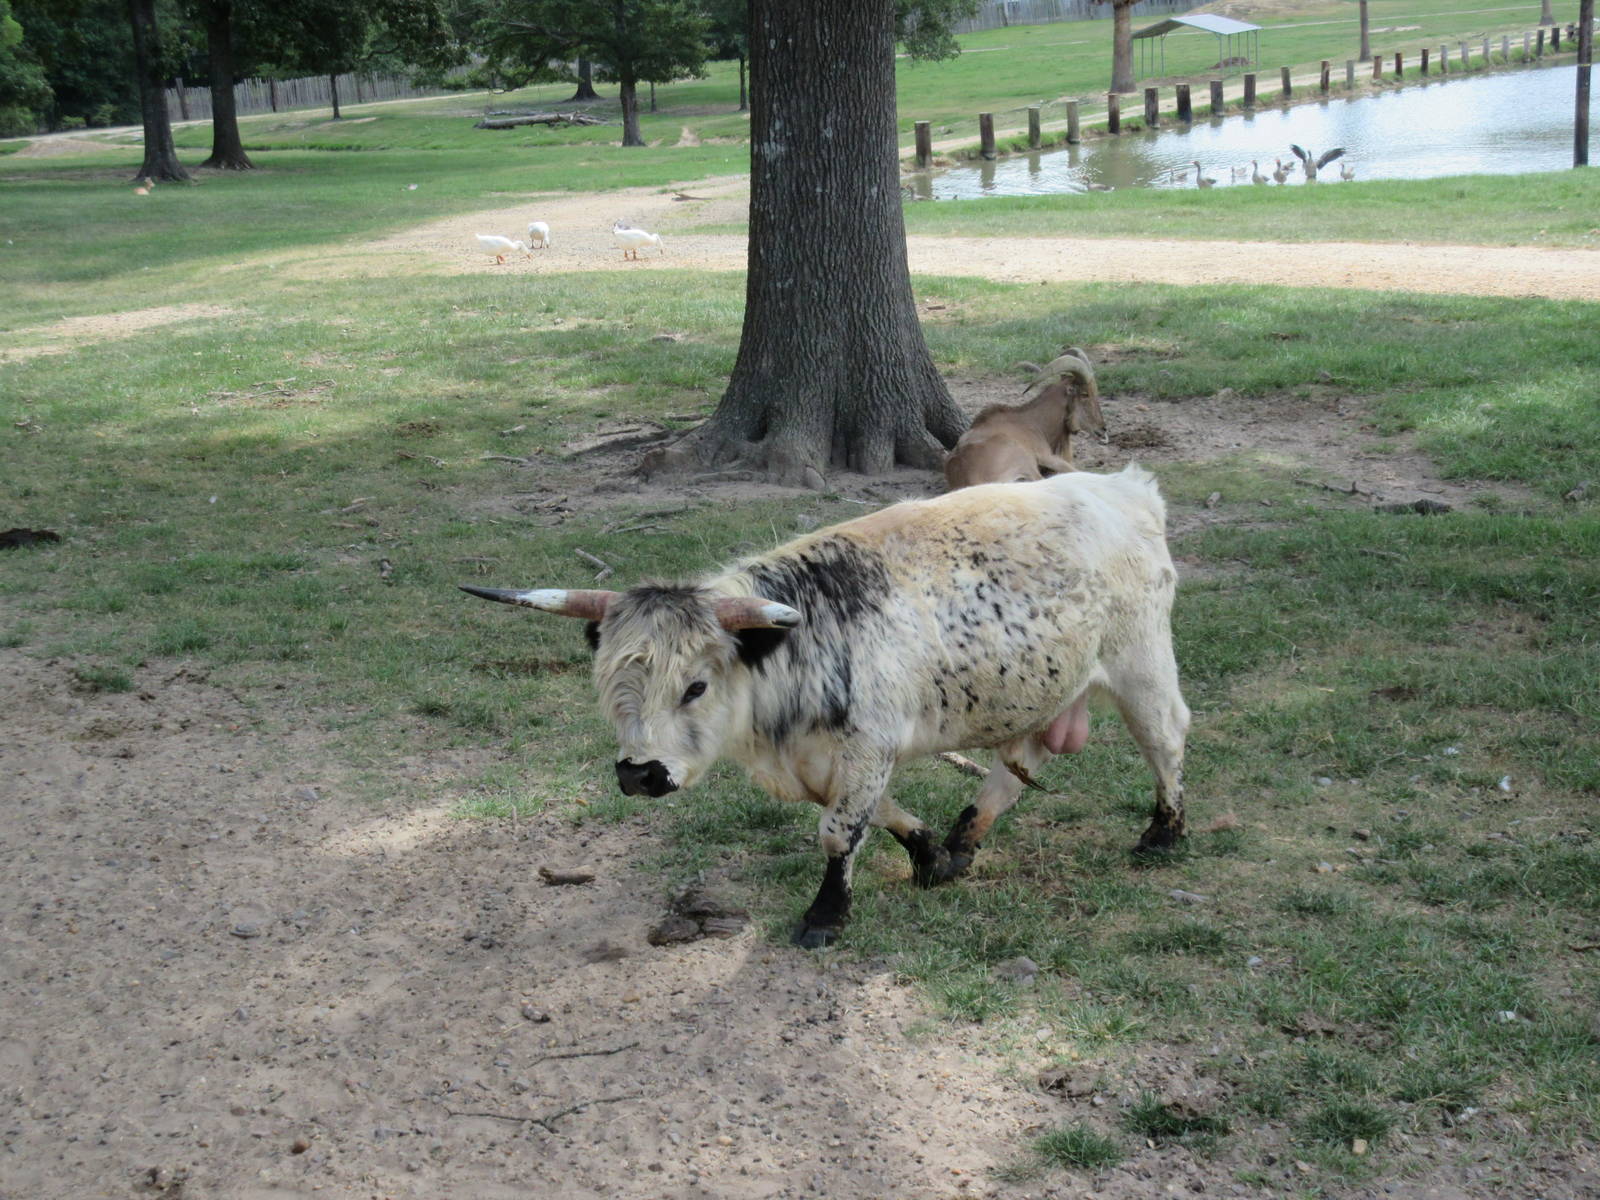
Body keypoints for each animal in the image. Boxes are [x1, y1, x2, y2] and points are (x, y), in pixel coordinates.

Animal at [462, 465, 1189, 949]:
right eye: (611, 686)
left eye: (696, 686)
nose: (639, 774)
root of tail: (1124, 486)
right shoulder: (824, 761)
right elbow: (876, 814)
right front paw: (932, 855)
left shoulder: (868, 745)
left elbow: (840, 830)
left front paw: (825, 916)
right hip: (1048, 688)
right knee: (1020, 764)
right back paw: (966, 838)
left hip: (1143, 664)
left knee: (1166, 739)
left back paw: (1164, 833)